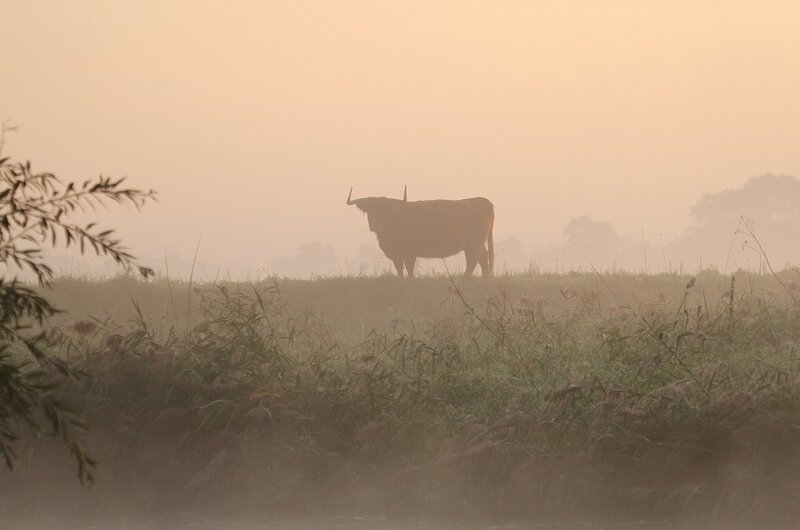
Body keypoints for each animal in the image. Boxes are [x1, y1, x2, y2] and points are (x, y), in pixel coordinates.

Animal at [347, 187, 494, 278]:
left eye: (385, 210)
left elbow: (409, 268)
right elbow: (399, 269)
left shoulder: (410, 252)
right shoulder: (397, 254)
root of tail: (482, 200)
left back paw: (466, 278)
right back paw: (484, 278)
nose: (375, 226)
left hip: (474, 243)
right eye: (369, 211)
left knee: (474, 259)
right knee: (481, 257)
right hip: (474, 244)